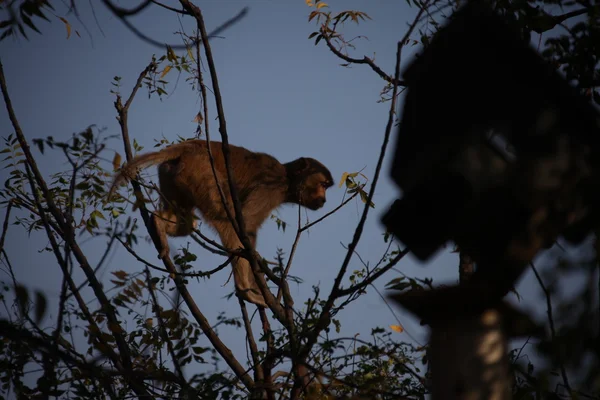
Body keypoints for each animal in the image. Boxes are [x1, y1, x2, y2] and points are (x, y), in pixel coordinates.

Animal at [108, 139, 332, 308]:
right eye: (322, 184)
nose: (323, 200)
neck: (287, 177)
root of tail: (189, 147)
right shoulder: (272, 187)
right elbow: (245, 224)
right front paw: (254, 281)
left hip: (172, 173)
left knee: (186, 224)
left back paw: (157, 223)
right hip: (201, 172)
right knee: (226, 218)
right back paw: (244, 290)